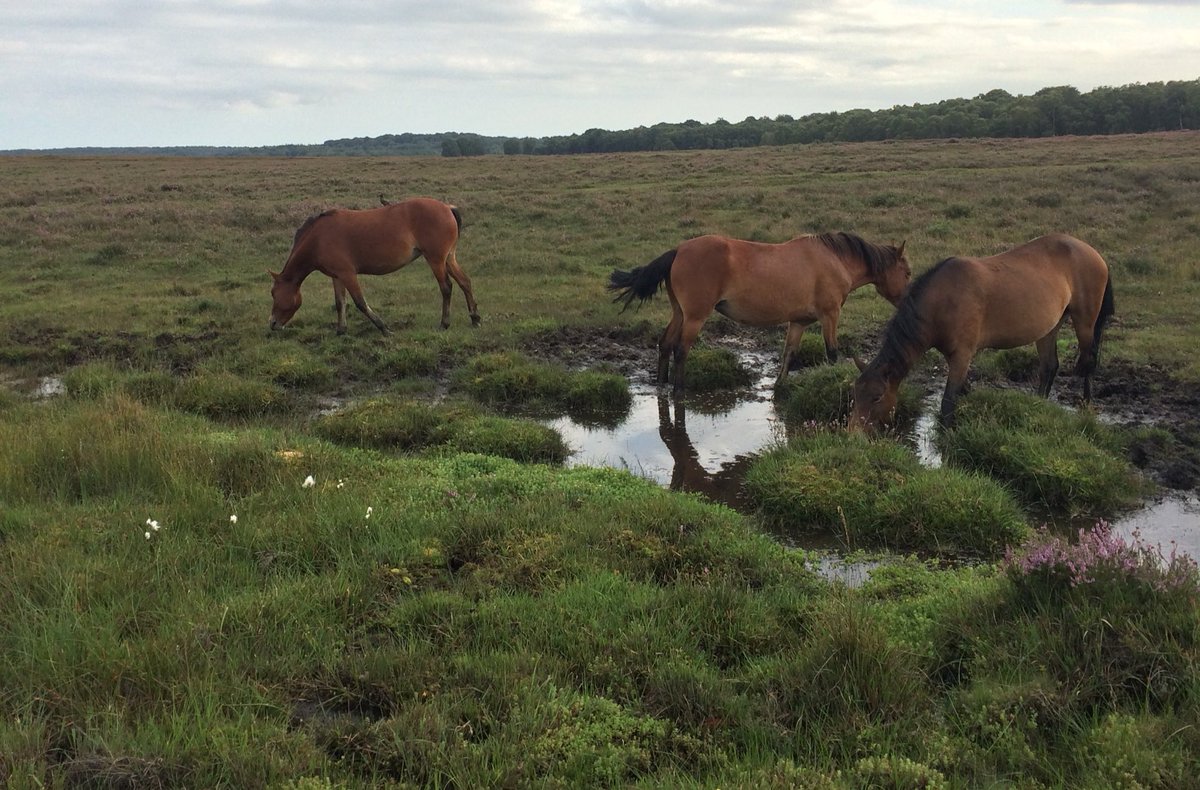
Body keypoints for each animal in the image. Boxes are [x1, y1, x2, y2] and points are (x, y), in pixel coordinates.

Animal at [270, 196, 480, 336]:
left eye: (273, 294)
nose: (272, 324)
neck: (318, 238)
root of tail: (447, 207)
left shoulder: (348, 274)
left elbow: (360, 303)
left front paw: (384, 329)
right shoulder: (337, 276)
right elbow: (340, 303)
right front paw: (341, 330)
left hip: (436, 260)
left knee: (446, 287)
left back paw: (444, 323)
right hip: (449, 258)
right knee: (465, 282)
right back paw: (475, 318)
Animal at [609, 230, 907, 391]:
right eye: (906, 271)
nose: (907, 300)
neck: (834, 259)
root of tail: (679, 250)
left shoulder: (798, 322)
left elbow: (789, 354)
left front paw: (779, 387)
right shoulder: (830, 315)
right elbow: (832, 353)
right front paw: (835, 382)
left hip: (680, 314)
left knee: (666, 344)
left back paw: (661, 384)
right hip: (695, 317)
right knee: (681, 349)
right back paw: (679, 389)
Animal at [844, 231, 1113, 429]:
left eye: (877, 397)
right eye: (855, 395)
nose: (854, 435)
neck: (942, 300)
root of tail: (1093, 252)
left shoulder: (962, 355)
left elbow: (948, 403)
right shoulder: (952, 355)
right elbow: (963, 390)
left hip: (1085, 322)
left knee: (1088, 361)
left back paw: (1086, 406)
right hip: (1049, 328)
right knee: (1049, 366)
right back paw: (1037, 406)